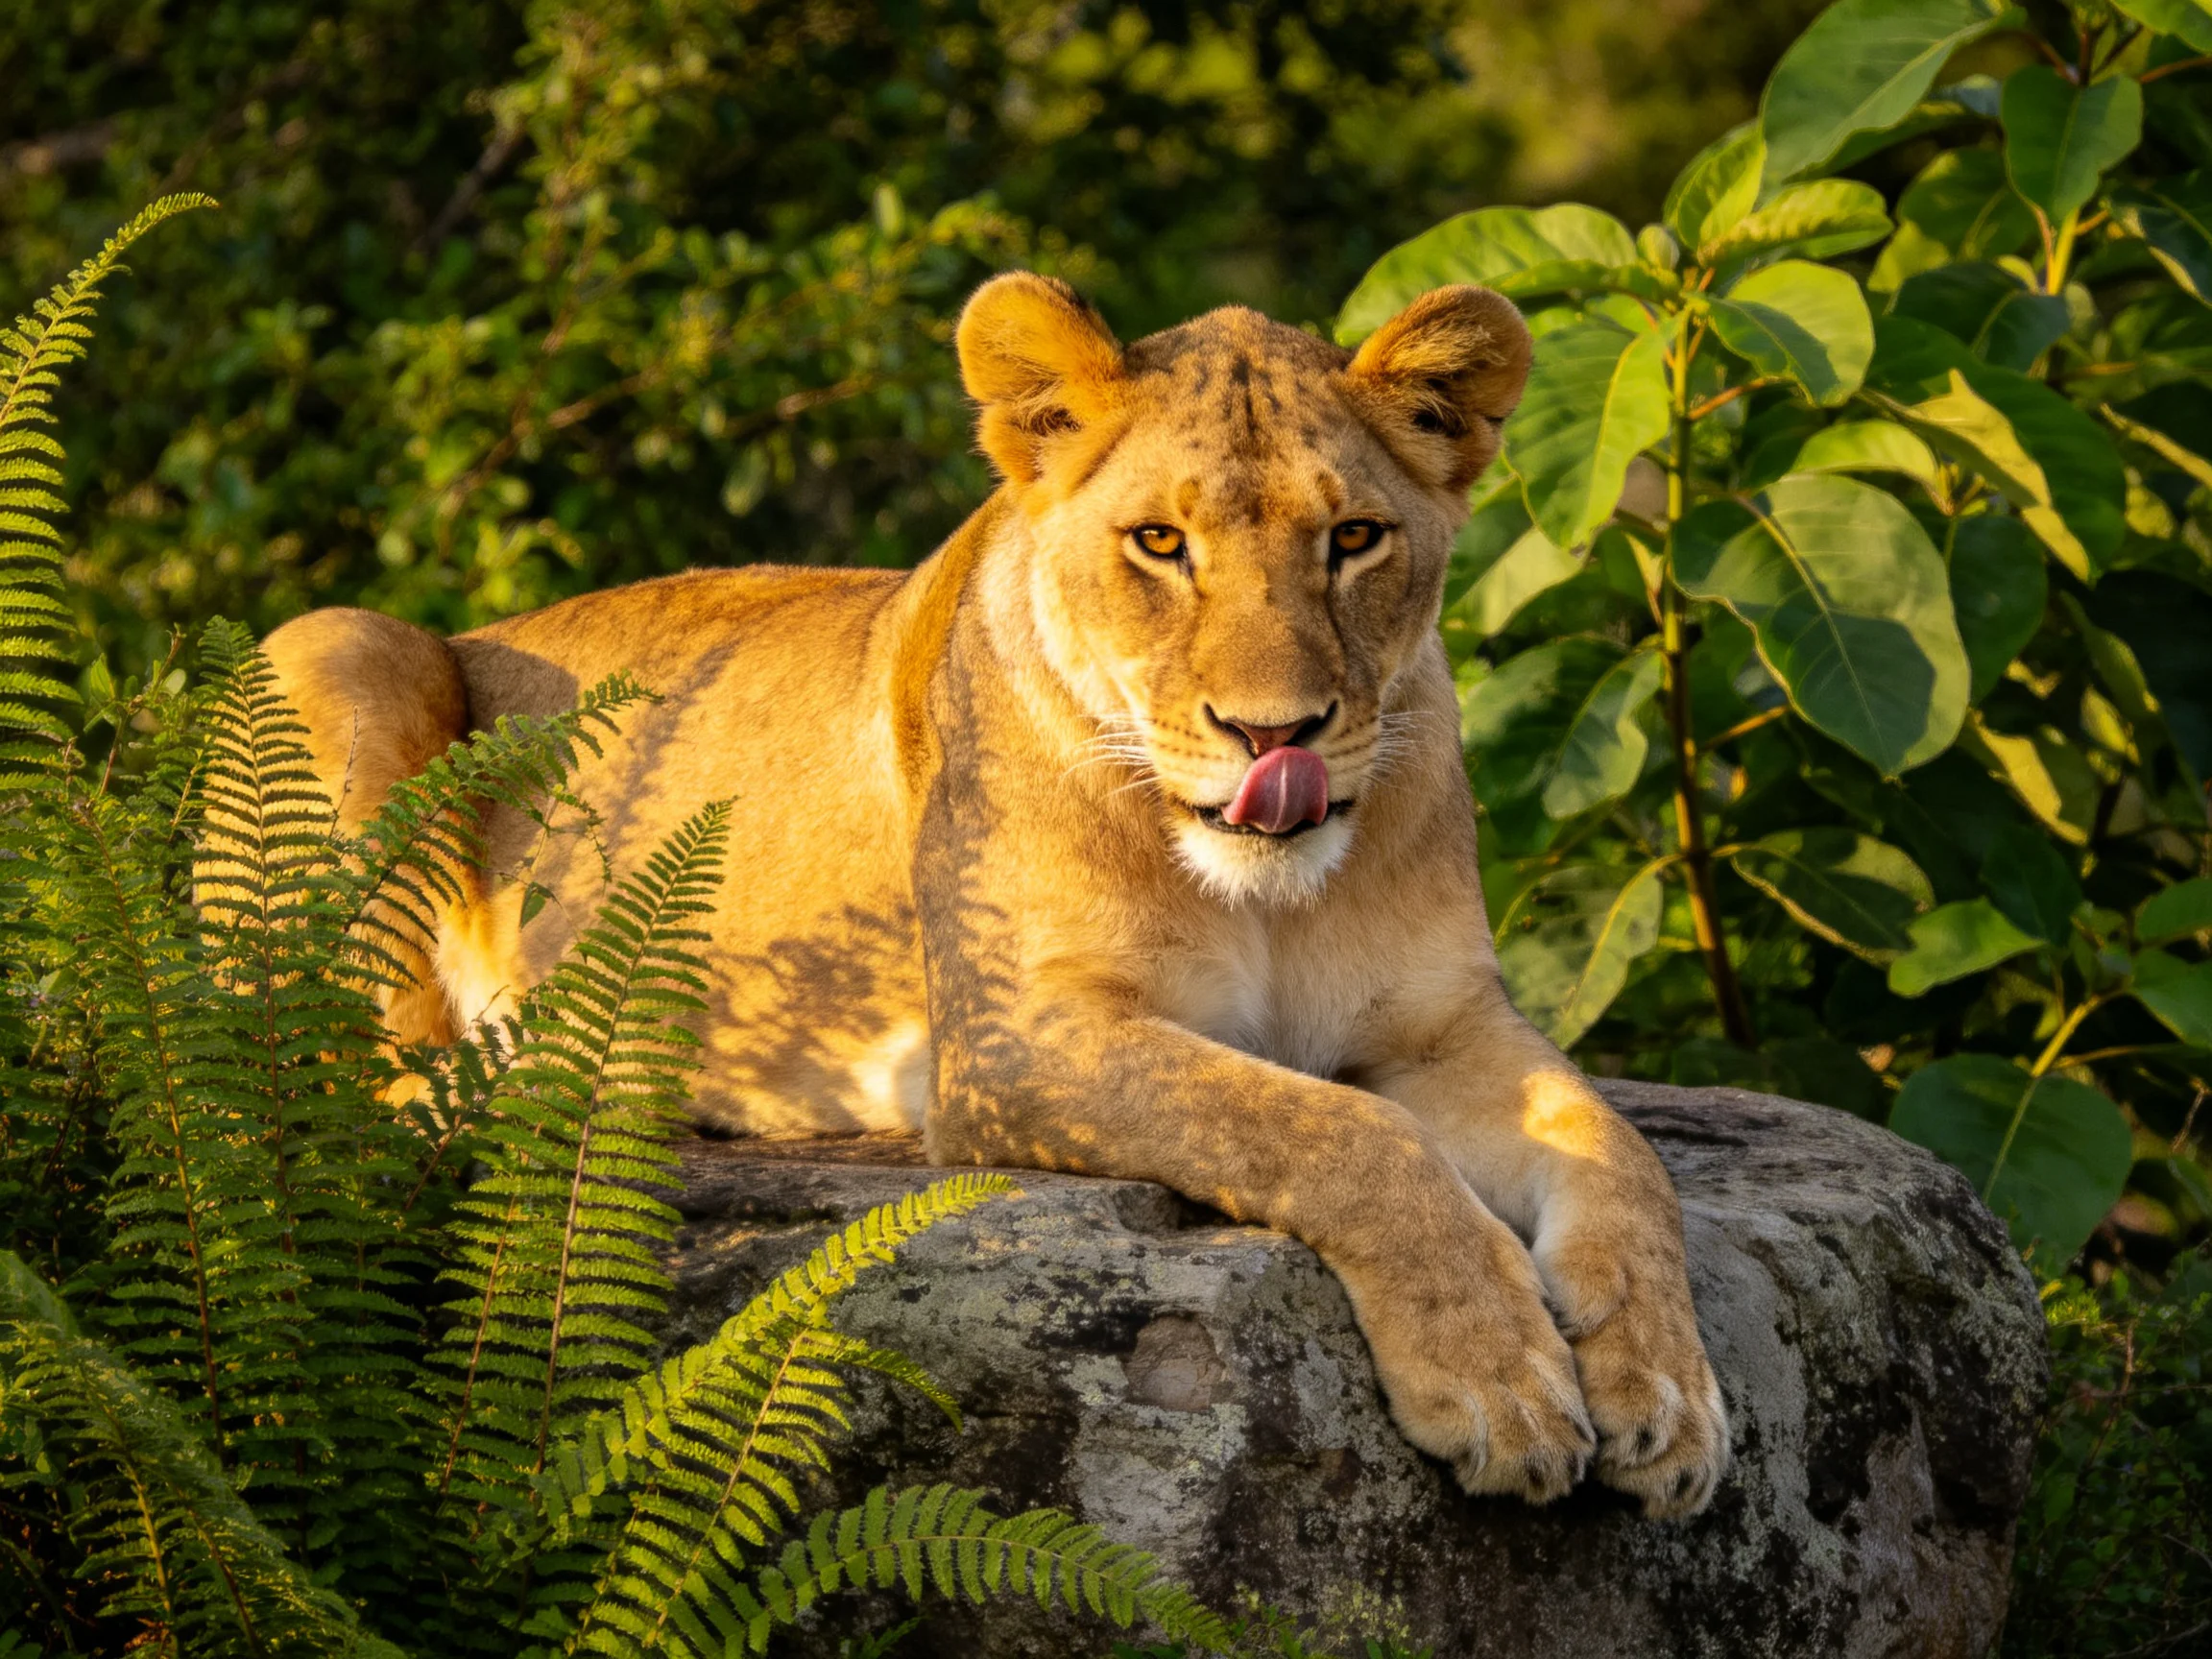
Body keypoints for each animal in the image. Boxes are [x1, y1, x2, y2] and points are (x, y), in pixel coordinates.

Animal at [260, 274, 1728, 1517]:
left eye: (1355, 538)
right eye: (1159, 543)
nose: (1276, 736)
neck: (1269, 896)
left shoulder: (1441, 1026)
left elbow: (1619, 1149)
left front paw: (1669, 1398)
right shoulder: (1015, 1045)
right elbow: (1335, 1134)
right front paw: (1499, 1382)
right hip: (345, 647)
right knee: (347, 1083)